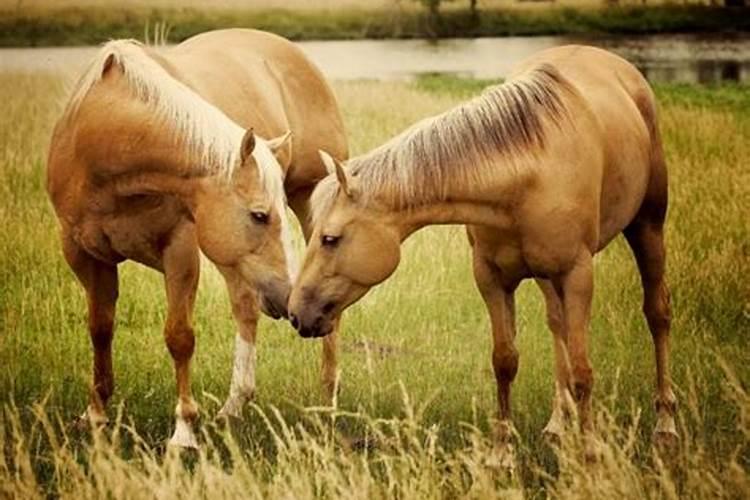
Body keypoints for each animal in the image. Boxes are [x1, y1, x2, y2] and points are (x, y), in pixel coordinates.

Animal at [48, 29, 348, 448]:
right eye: (259, 215)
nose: (287, 299)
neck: (102, 142)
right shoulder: (83, 254)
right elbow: (100, 329)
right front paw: (94, 414)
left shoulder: (180, 250)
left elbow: (179, 337)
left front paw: (184, 431)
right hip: (230, 259)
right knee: (245, 307)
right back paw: (234, 406)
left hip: (308, 205)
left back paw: (328, 403)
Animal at [290, 47, 680, 464]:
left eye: (330, 238)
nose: (297, 313)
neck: (528, 175)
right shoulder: (491, 277)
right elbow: (505, 361)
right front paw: (500, 453)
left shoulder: (577, 275)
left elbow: (582, 370)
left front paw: (591, 453)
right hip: (546, 276)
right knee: (556, 324)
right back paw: (558, 423)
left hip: (647, 225)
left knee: (657, 313)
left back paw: (665, 426)